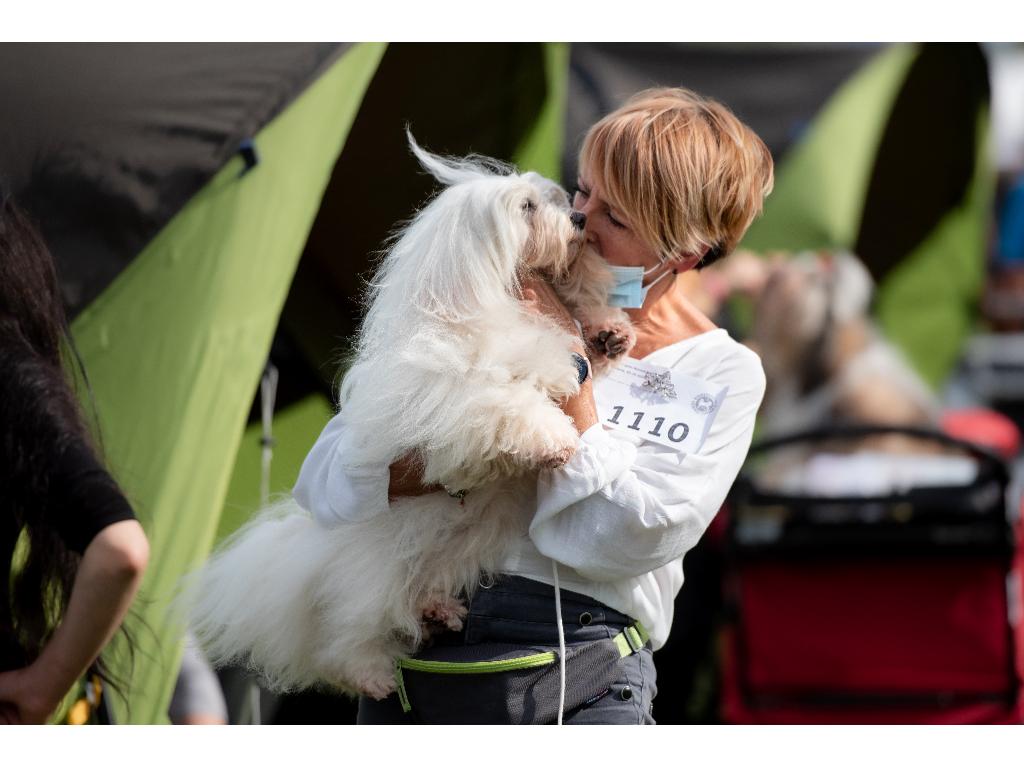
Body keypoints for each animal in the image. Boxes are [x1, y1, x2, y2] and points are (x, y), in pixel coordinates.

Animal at [185, 135, 630, 700]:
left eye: (554, 199)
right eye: (527, 208)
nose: (576, 219)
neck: (496, 302)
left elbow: (570, 345)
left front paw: (607, 333)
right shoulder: (455, 395)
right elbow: (513, 403)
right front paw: (555, 437)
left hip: (457, 550)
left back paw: (440, 610)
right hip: (375, 578)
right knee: (346, 639)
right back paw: (373, 675)